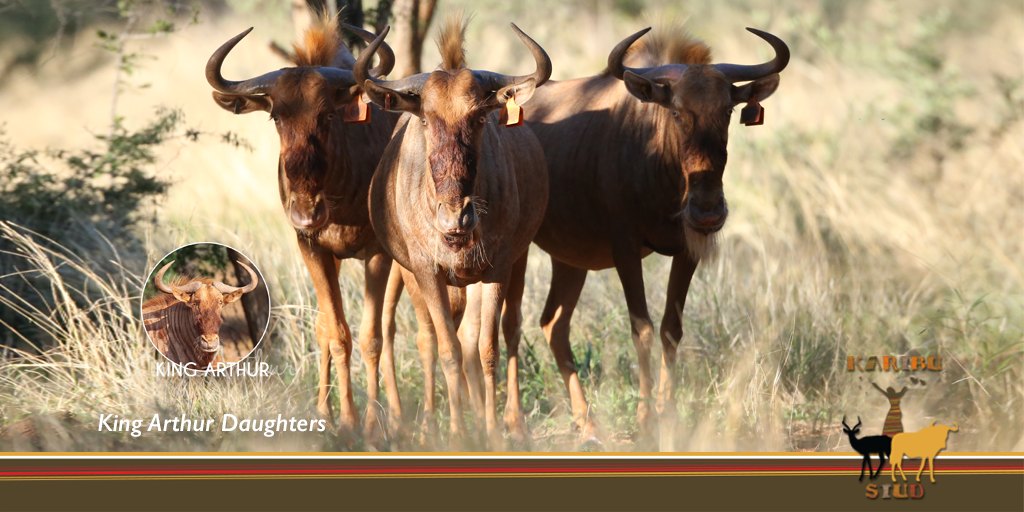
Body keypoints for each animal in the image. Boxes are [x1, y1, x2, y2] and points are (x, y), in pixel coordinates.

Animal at [205, 15, 403, 446]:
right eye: (276, 116)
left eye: (328, 114)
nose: (306, 213)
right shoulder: (313, 250)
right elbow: (336, 332)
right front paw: (342, 420)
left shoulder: (378, 255)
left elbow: (372, 336)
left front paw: (372, 426)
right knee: (327, 324)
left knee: (397, 324)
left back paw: (400, 417)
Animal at [354, 14, 550, 450]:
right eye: (425, 117)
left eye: (478, 116)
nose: (455, 219)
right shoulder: (427, 273)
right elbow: (447, 350)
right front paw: (458, 433)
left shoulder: (497, 270)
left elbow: (487, 349)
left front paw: (491, 431)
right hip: (415, 276)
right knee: (432, 339)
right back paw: (428, 423)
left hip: (507, 267)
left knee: (499, 332)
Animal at [520, 26, 789, 450]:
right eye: (676, 111)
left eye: (728, 110)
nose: (707, 210)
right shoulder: (626, 252)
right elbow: (642, 328)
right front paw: (646, 419)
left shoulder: (687, 252)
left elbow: (670, 328)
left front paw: (670, 414)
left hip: (568, 260)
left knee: (553, 325)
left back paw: (588, 425)